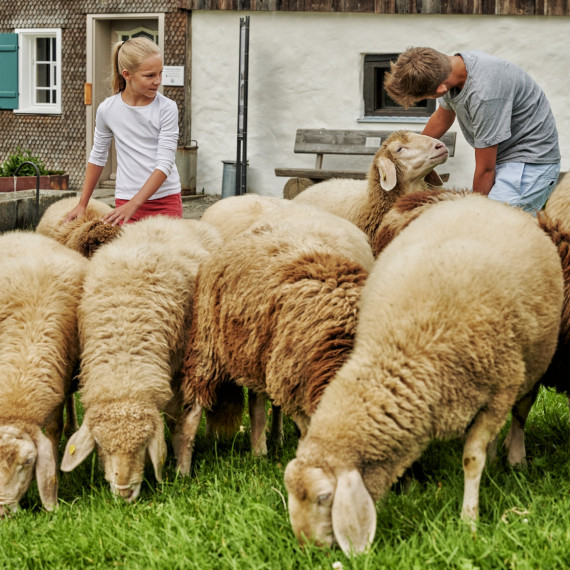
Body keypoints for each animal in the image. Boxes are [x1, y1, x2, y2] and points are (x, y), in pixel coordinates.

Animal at [60, 215, 220, 500]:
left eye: (144, 444)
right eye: (101, 446)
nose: (124, 493)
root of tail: (168, 219)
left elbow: (180, 421)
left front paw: (180, 466)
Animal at [179, 206, 372, 468]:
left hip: (258, 348)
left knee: (260, 402)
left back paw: (266, 445)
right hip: (209, 345)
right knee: (196, 407)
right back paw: (185, 467)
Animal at [282, 192, 560, 556]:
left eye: (324, 497)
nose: (305, 549)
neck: (406, 346)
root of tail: (486, 202)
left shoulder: (498, 392)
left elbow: (472, 459)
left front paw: (469, 520)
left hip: (533, 366)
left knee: (519, 414)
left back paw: (515, 458)